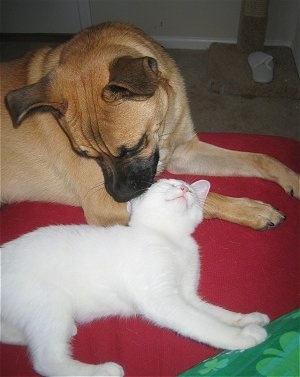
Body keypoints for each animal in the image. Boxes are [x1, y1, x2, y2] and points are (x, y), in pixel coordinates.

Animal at [0, 178, 270, 374]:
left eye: (191, 191)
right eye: (167, 184)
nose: (184, 188)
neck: (171, 239)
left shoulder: (188, 296)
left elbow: (216, 314)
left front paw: (249, 319)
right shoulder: (162, 299)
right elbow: (204, 324)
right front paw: (244, 337)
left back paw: (62, 331)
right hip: (48, 302)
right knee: (46, 361)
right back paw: (103, 371)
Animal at [1, 23, 298, 229]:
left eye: (134, 147)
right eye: (85, 155)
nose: (119, 196)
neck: (162, 131)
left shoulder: (183, 152)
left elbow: (262, 158)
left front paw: (292, 179)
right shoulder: (103, 204)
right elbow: (202, 196)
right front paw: (254, 211)